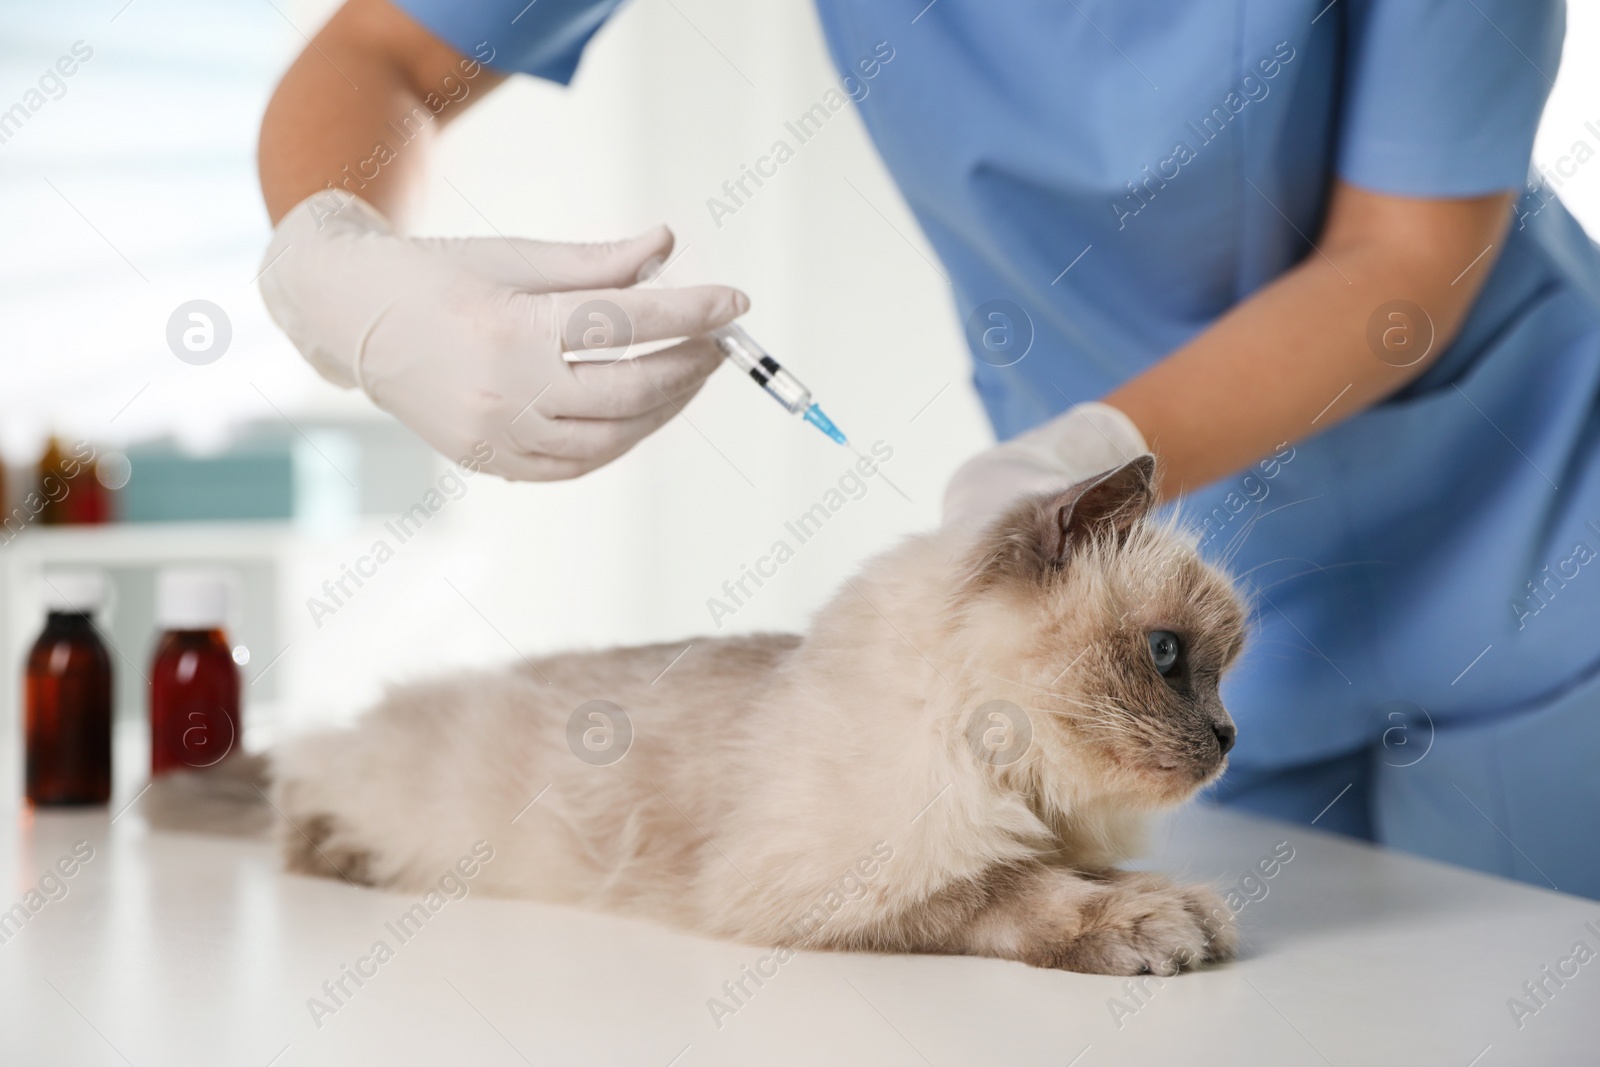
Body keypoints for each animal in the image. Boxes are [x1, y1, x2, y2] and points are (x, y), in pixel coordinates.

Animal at [152, 454, 1248, 979]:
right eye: (1167, 656)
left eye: (1227, 671)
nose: (1231, 736)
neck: (1011, 774)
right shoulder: (834, 881)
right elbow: (1006, 888)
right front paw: (1148, 925)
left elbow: (1080, 871)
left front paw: (1170, 904)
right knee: (301, 795)